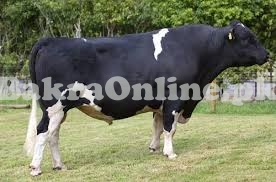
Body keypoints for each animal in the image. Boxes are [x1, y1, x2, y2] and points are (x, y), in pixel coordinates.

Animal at [24, 20, 268, 176]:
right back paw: (36, 168)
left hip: (61, 109)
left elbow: (158, 126)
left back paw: (60, 165)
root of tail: (50, 40)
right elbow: (170, 127)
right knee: (43, 131)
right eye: (248, 38)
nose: (267, 54)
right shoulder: (175, 97)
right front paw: (170, 153)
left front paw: (154, 149)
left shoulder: (159, 103)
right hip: (55, 105)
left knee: (54, 134)